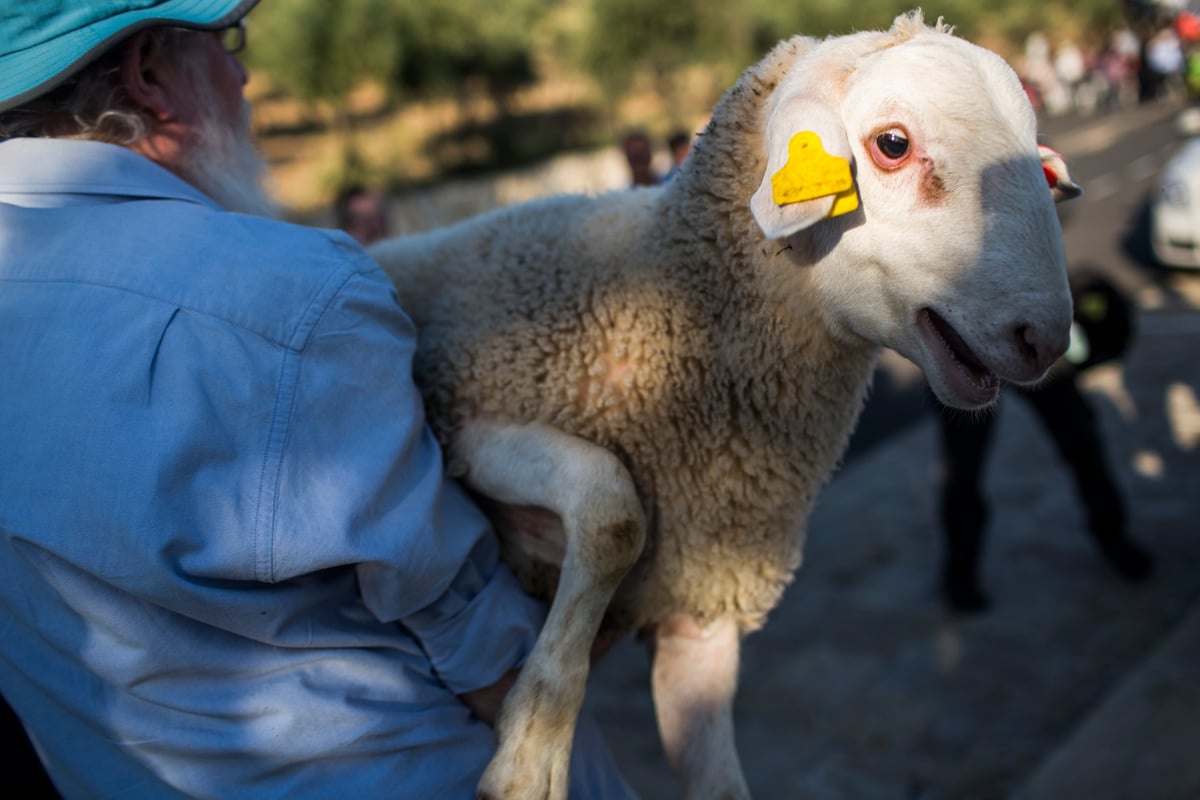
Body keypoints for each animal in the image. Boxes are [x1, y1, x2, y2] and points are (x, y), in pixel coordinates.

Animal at [364, 10, 1080, 800]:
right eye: (892, 144)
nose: (1044, 339)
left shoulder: (700, 613)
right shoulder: (464, 426)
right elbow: (614, 511)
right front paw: (532, 753)